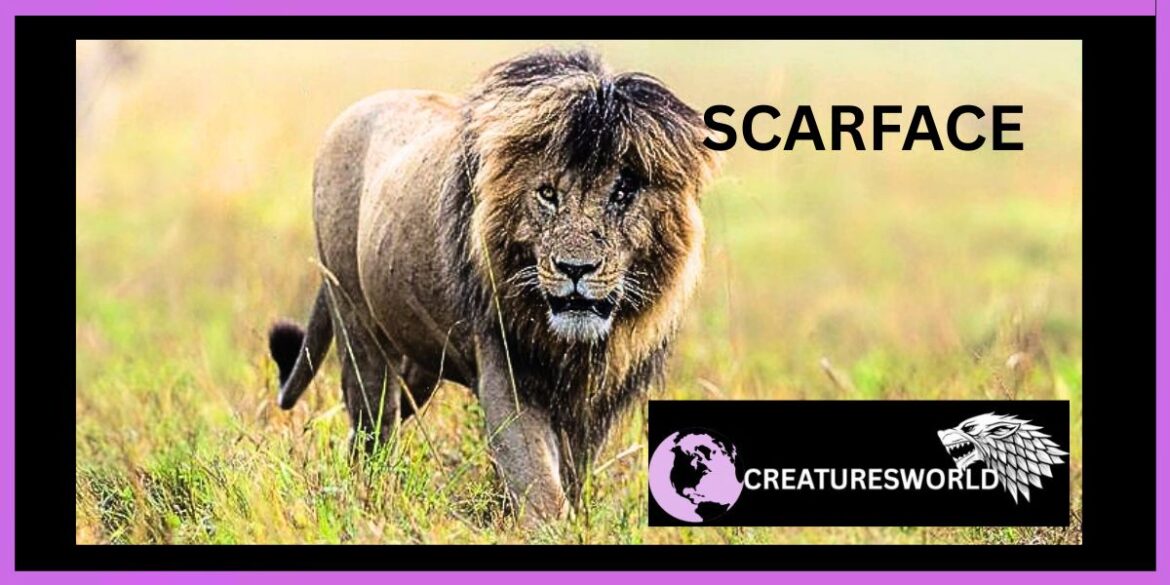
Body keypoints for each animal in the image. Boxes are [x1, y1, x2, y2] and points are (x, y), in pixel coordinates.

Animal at [268, 49, 717, 519]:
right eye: (547, 194)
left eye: (622, 192)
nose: (575, 268)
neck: (572, 346)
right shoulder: (507, 369)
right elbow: (541, 487)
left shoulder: (596, 399)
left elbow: (572, 476)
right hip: (357, 324)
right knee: (373, 422)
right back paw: (365, 493)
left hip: (418, 357)